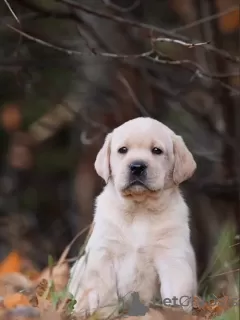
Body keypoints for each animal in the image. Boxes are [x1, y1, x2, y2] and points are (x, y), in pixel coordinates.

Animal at [67, 117, 197, 318]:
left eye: (157, 151)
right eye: (123, 150)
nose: (137, 166)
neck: (140, 210)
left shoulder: (171, 255)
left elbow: (176, 290)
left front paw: (175, 313)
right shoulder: (104, 252)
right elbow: (104, 291)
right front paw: (104, 314)